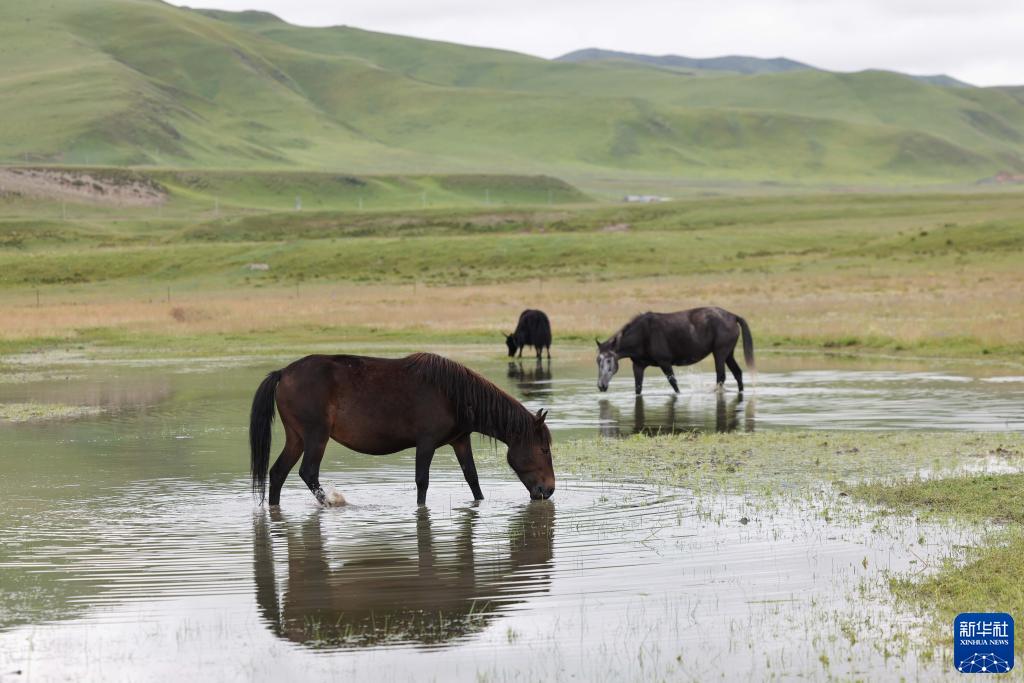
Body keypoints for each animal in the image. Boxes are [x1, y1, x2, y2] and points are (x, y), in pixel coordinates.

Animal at [249, 352, 552, 507]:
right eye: (543, 449)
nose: (548, 490)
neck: (452, 394)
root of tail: (283, 373)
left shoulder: (460, 441)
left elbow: (472, 479)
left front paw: (480, 503)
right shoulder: (426, 443)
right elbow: (422, 481)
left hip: (297, 438)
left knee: (277, 474)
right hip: (316, 436)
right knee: (308, 472)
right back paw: (335, 503)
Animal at [598, 305, 757, 393]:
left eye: (608, 360)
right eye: (597, 361)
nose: (601, 386)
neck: (643, 334)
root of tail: (733, 316)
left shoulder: (664, 363)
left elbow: (674, 384)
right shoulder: (638, 366)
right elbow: (638, 388)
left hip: (720, 353)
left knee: (721, 377)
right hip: (728, 354)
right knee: (737, 373)